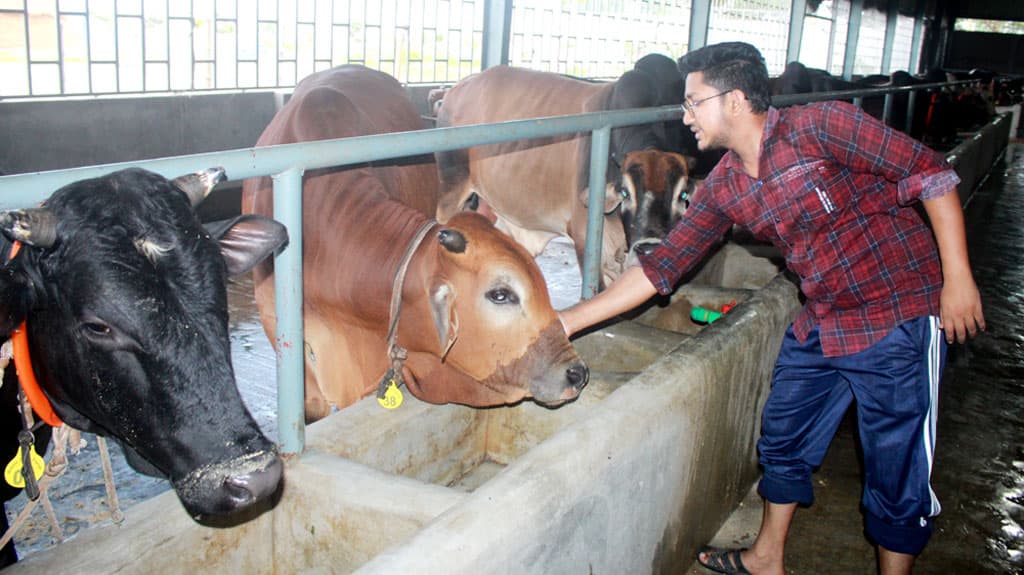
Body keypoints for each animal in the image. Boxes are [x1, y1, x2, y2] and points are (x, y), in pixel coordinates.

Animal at [432, 62, 696, 286]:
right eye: (625, 192)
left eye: (682, 195)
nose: (650, 248)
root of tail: (455, 90)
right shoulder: (586, 239)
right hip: (452, 189)